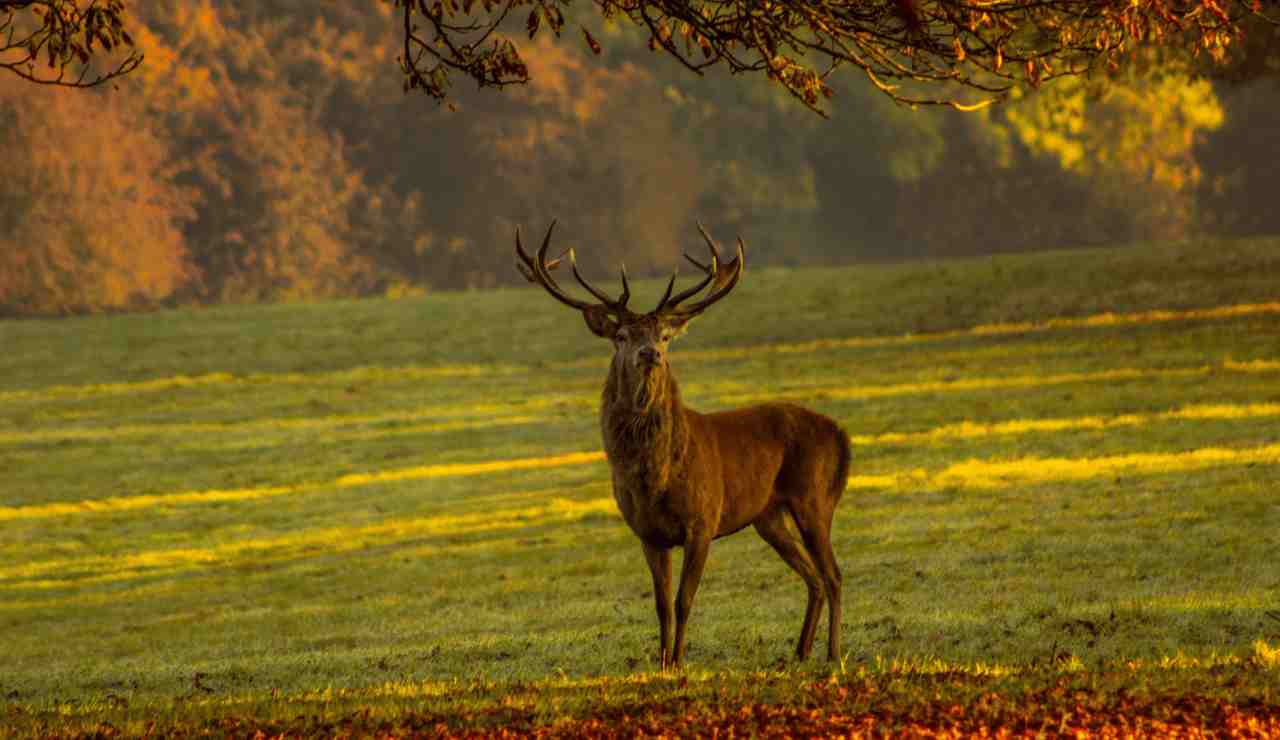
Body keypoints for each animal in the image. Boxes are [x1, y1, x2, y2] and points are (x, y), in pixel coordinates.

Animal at [515, 221, 851, 669]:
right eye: (621, 335)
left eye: (663, 335)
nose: (649, 354)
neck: (655, 478)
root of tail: (840, 433)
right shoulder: (647, 533)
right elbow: (661, 604)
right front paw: (662, 663)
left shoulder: (703, 521)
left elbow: (684, 600)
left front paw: (679, 661)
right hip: (768, 516)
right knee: (813, 576)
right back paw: (800, 651)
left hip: (813, 497)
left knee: (833, 574)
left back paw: (832, 653)